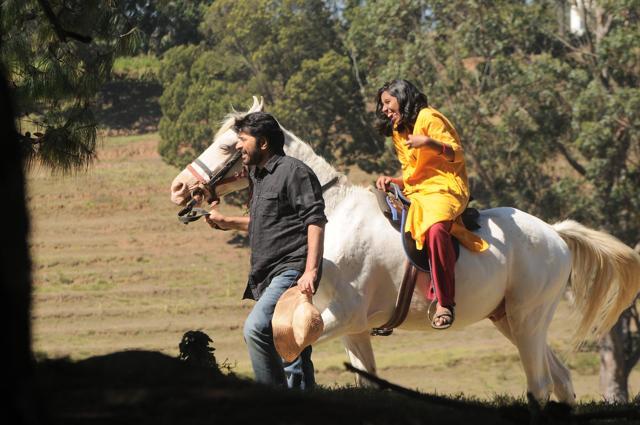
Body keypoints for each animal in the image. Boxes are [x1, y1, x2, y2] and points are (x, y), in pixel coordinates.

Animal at [169, 97, 640, 402]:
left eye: (228, 146)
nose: (179, 187)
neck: (331, 213)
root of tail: (555, 235)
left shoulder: (342, 316)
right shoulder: (354, 330)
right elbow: (365, 382)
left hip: (527, 319)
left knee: (541, 385)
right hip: (512, 320)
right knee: (560, 379)